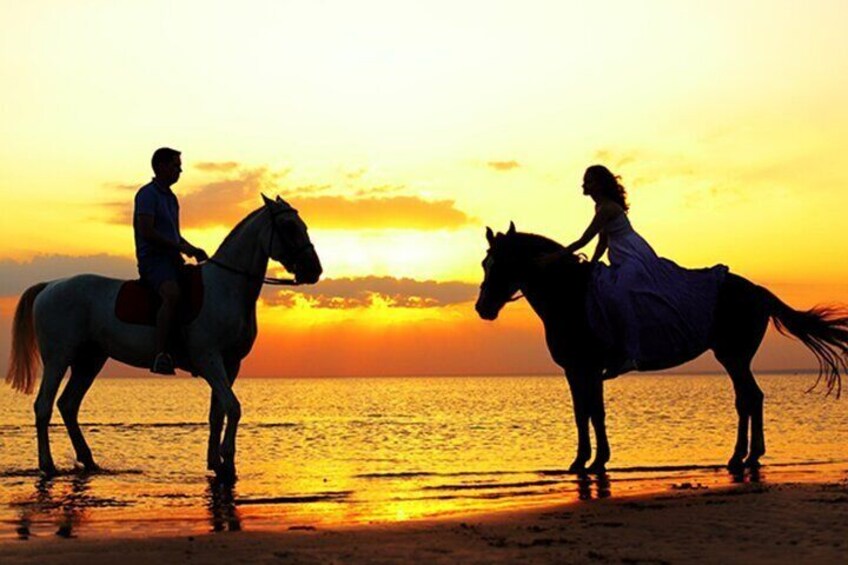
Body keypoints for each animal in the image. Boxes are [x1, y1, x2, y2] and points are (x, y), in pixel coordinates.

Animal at [4, 194, 322, 480]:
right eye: (289, 226)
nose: (314, 270)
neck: (227, 286)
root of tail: (50, 286)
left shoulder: (230, 363)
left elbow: (218, 412)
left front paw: (217, 463)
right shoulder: (209, 359)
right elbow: (233, 407)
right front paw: (228, 464)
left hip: (90, 360)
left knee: (68, 405)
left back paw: (89, 461)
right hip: (59, 358)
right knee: (44, 405)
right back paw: (47, 465)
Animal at [476, 223, 848, 474]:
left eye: (502, 263)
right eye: (484, 265)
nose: (483, 308)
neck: (571, 295)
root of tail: (758, 291)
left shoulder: (587, 368)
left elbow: (593, 412)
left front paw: (593, 461)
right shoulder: (576, 370)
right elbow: (584, 412)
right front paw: (585, 460)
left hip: (734, 356)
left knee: (749, 398)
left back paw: (745, 455)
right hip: (734, 357)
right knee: (748, 399)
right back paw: (744, 456)